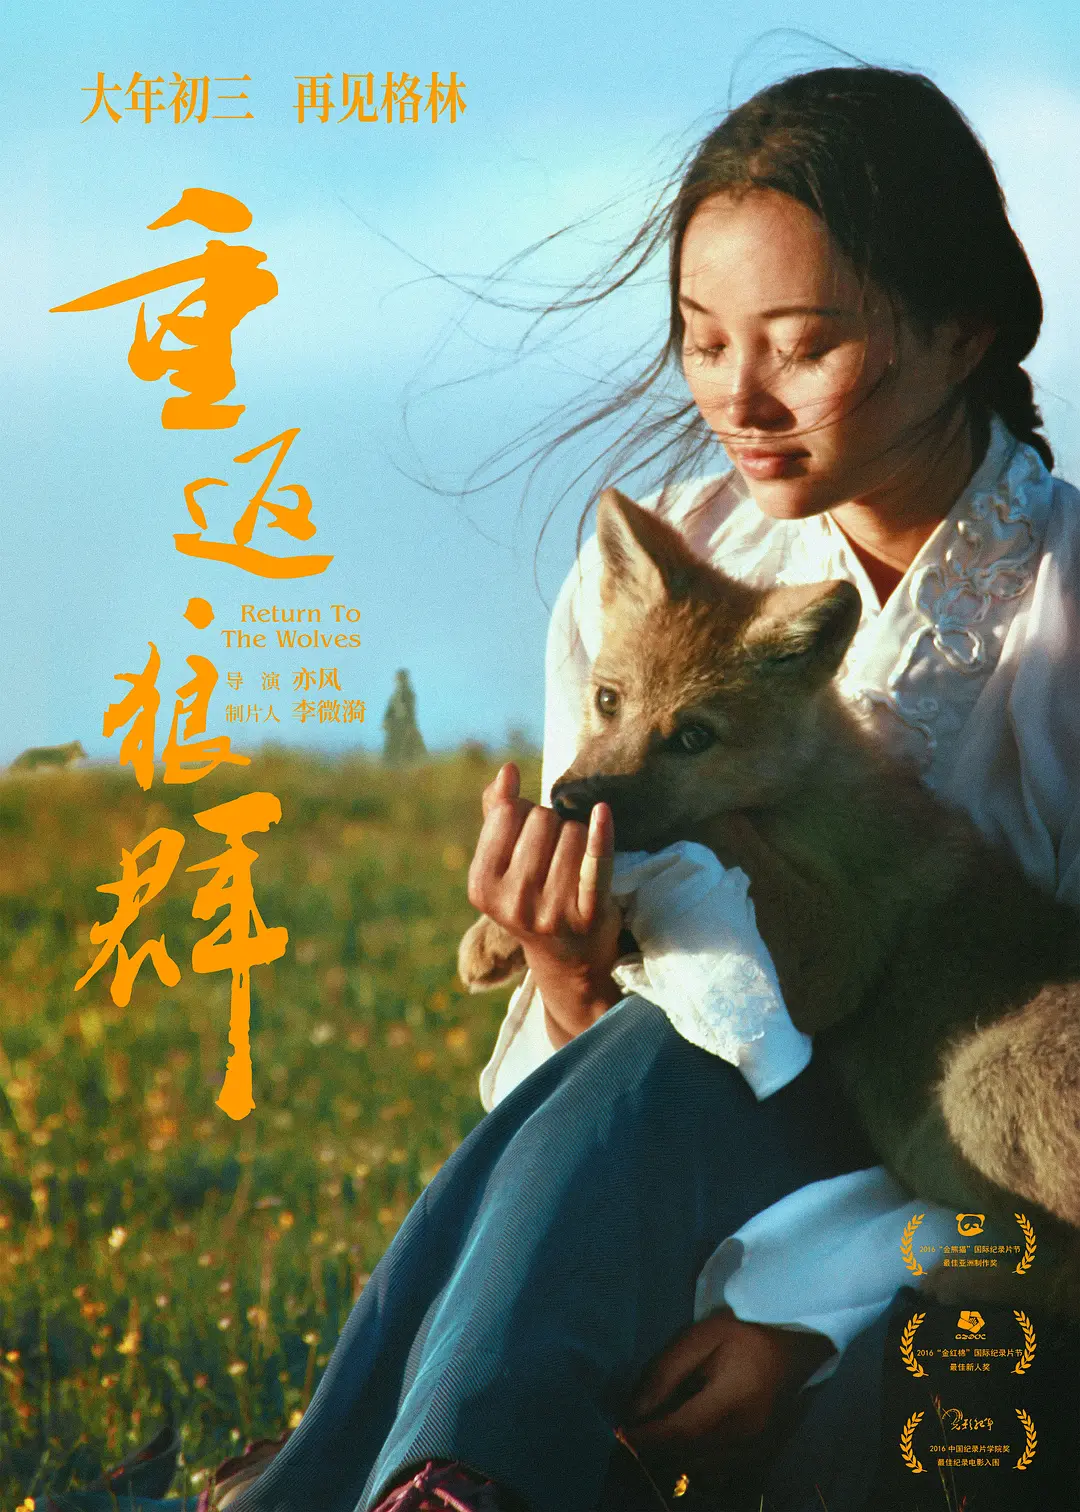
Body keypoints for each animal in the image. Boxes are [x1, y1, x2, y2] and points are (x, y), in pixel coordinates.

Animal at [459, 487, 1080, 1297]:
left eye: (693, 737)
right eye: (608, 700)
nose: (568, 801)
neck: (800, 792)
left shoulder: (836, 954)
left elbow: (702, 829)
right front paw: (494, 936)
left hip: (974, 1083)